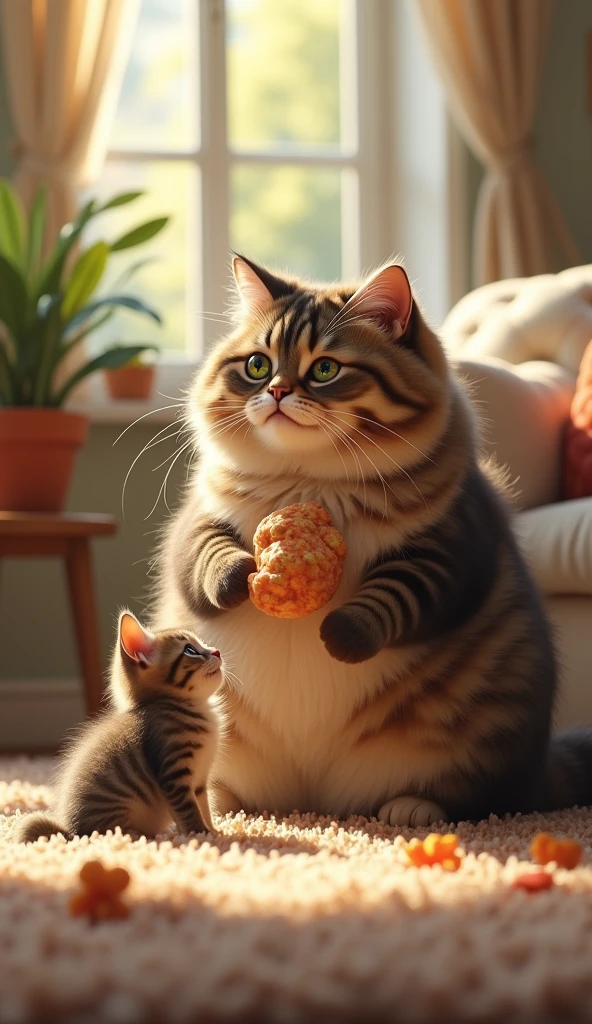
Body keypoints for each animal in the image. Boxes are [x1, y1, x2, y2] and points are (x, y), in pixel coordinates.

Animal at [18, 614, 222, 839]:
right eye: (190, 650)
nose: (217, 651)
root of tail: (71, 831)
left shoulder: (200, 782)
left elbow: (204, 807)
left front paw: (214, 831)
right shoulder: (174, 776)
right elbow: (189, 811)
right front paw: (201, 833)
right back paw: (134, 835)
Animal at [149, 256, 589, 823]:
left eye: (325, 370)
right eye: (257, 366)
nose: (276, 392)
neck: (308, 482)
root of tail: (315, 800)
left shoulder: (452, 545)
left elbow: (393, 597)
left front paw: (338, 635)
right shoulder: (196, 522)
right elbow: (208, 559)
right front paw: (244, 575)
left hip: (490, 728)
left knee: (481, 798)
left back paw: (411, 808)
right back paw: (227, 807)